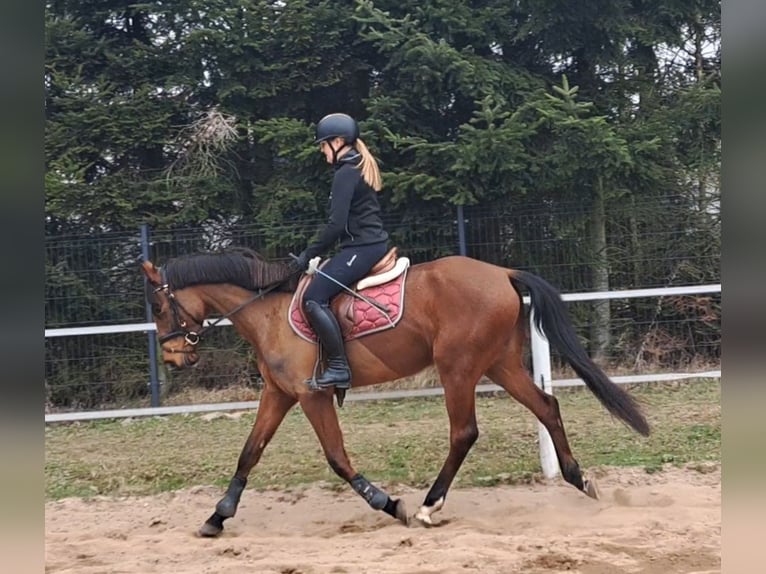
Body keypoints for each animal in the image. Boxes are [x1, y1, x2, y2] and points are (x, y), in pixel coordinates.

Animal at [142, 250, 648, 536]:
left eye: (158, 304)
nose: (173, 357)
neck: (267, 311)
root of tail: (502, 272)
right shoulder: (280, 395)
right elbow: (249, 453)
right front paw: (217, 516)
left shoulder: (312, 396)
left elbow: (338, 458)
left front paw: (388, 503)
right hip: (499, 364)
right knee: (547, 406)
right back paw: (578, 479)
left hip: (458, 368)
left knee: (464, 432)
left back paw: (427, 507)